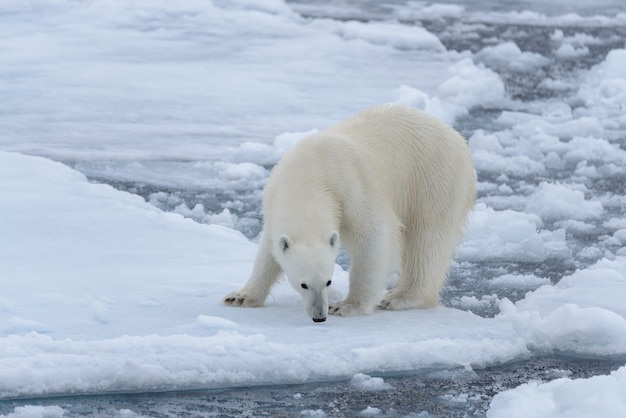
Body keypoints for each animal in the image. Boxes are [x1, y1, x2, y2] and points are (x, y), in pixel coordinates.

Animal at [224, 104, 472, 324]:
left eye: (328, 281)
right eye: (304, 284)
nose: (320, 316)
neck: (307, 176)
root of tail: (452, 133)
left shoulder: (351, 186)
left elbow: (375, 234)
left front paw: (347, 305)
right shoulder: (273, 200)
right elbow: (268, 251)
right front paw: (240, 297)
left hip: (433, 177)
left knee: (428, 239)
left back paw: (401, 298)